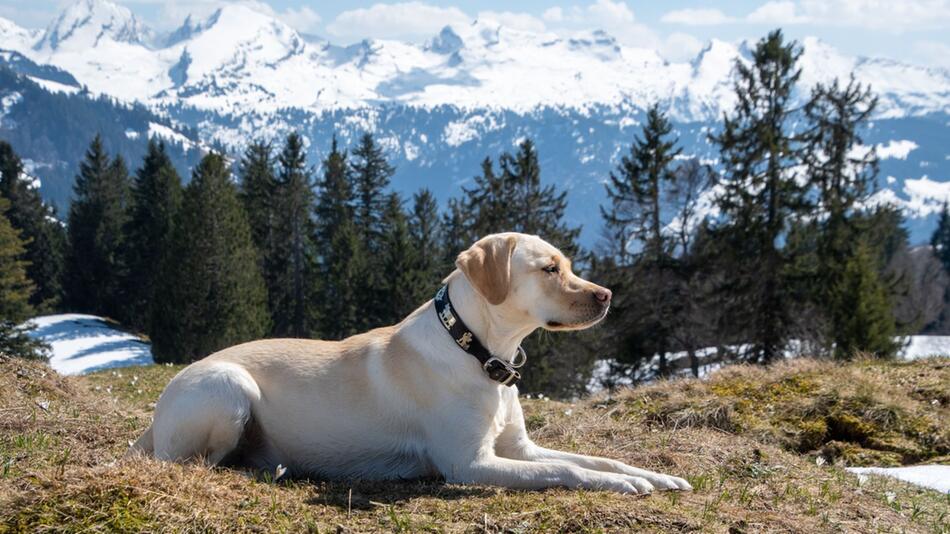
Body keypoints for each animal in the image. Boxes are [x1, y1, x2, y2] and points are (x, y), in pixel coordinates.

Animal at [130, 232, 692, 496]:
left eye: (569, 265)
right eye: (550, 269)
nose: (607, 296)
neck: (478, 351)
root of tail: (155, 415)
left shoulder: (518, 449)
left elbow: (597, 459)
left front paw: (652, 476)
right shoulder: (470, 464)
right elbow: (567, 470)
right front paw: (623, 486)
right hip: (228, 388)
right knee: (192, 462)